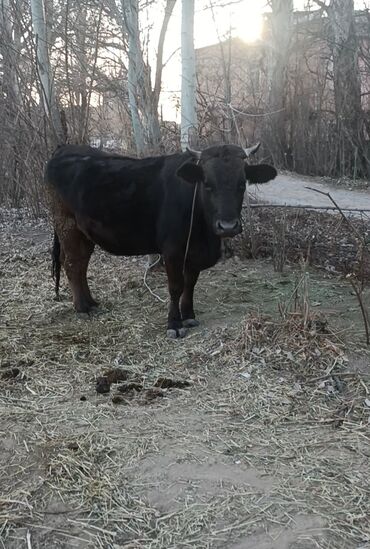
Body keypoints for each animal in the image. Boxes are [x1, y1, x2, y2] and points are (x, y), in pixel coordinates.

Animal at [46, 143, 276, 336]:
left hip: (84, 234)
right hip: (68, 226)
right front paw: (174, 324)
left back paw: (91, 303)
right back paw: (82, 308)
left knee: (81, 265)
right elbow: (176, 287)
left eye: (242, 184)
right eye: (208, 184)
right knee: (72, 265)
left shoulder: (193, 253)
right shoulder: (172, 250)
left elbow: (190, 284)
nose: (227, 226)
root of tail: (65, 148)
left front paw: (189, 316)